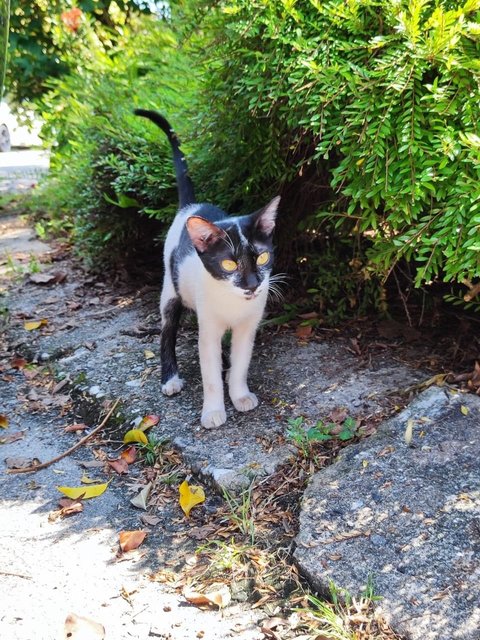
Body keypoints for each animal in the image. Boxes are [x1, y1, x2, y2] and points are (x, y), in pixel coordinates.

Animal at [135, 109, 280, 430]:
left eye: (262, 258)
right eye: (229, 263)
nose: (252, 284)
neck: (233, 303)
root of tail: (191, 206)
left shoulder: (248, 327)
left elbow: (240, 363)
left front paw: (239, 394)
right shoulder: (209, 328)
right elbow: (209, 373)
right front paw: (213, 411)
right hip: (170, 290)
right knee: (166, 332)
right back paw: (170, 378)